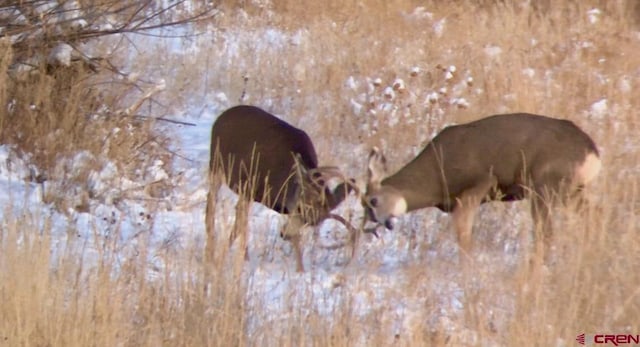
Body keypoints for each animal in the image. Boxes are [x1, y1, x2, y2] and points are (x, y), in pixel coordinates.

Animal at [205, 104, 356, 274]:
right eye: (300, 207)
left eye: (313, 222)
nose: (284, 234)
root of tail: (223, 115)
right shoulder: (248, 186)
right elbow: (240, 222)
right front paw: (222, 256)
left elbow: (297, 237)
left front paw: (300, 270)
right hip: (216, 166)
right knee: (211, 204)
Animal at [362, 113, 604, 260]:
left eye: (373, 201)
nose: (383, 224)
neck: (436, 175)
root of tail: (592, 151)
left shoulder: (480, 183)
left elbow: (463, 233)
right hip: (570, 190)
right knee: (594, 213)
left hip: (545, 187)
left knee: (546, 232)